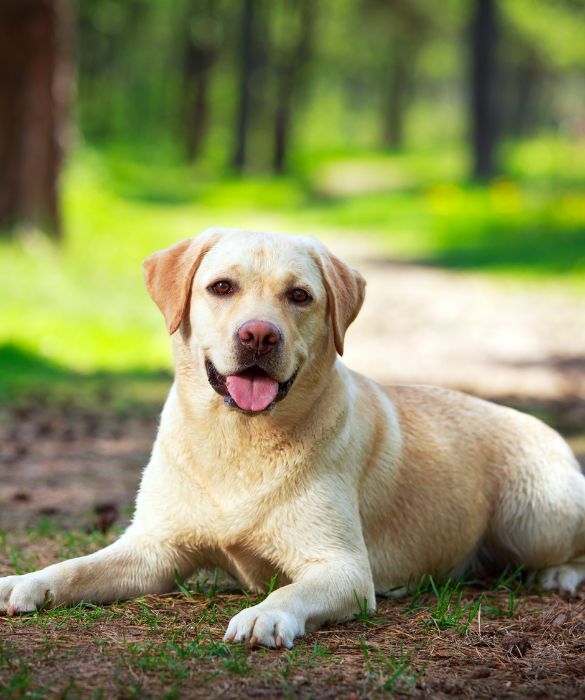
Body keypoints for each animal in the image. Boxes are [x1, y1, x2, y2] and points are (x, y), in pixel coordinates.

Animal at [1, 232, 584, 648]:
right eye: (221, 287)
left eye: (299, 296)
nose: (259, 334)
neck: (238, 438)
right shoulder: (152, 549)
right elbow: (78, 566)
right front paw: (26, 580)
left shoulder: (344, 568)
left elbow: (291, 586)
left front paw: (266, 614)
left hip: (535, 517)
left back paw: (560, 576)